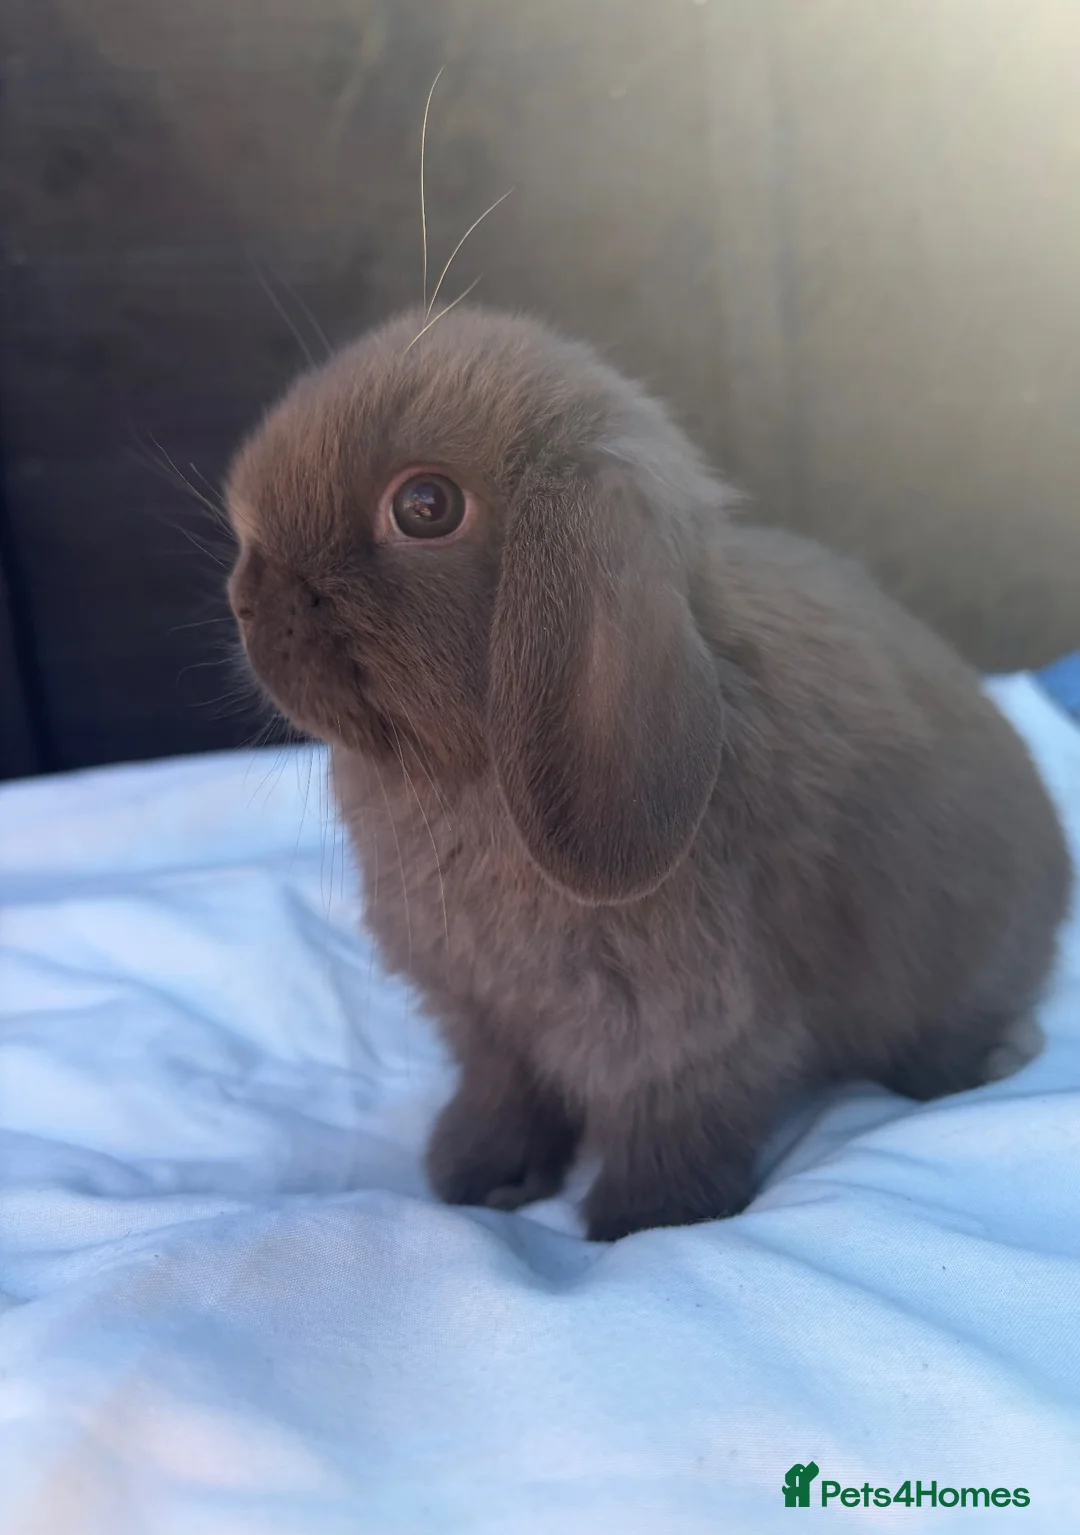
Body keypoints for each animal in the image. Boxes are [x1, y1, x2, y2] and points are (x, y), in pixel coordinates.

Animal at [226, 304, 1072, 1241]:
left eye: (425, 506)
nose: (245, 594)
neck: (468, 781)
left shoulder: (683, 1026)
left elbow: (672, 1117)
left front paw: (647, 1222)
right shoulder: (488, 1021)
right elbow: (504, 1092)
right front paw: (480, 1177)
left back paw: (991, 1057)